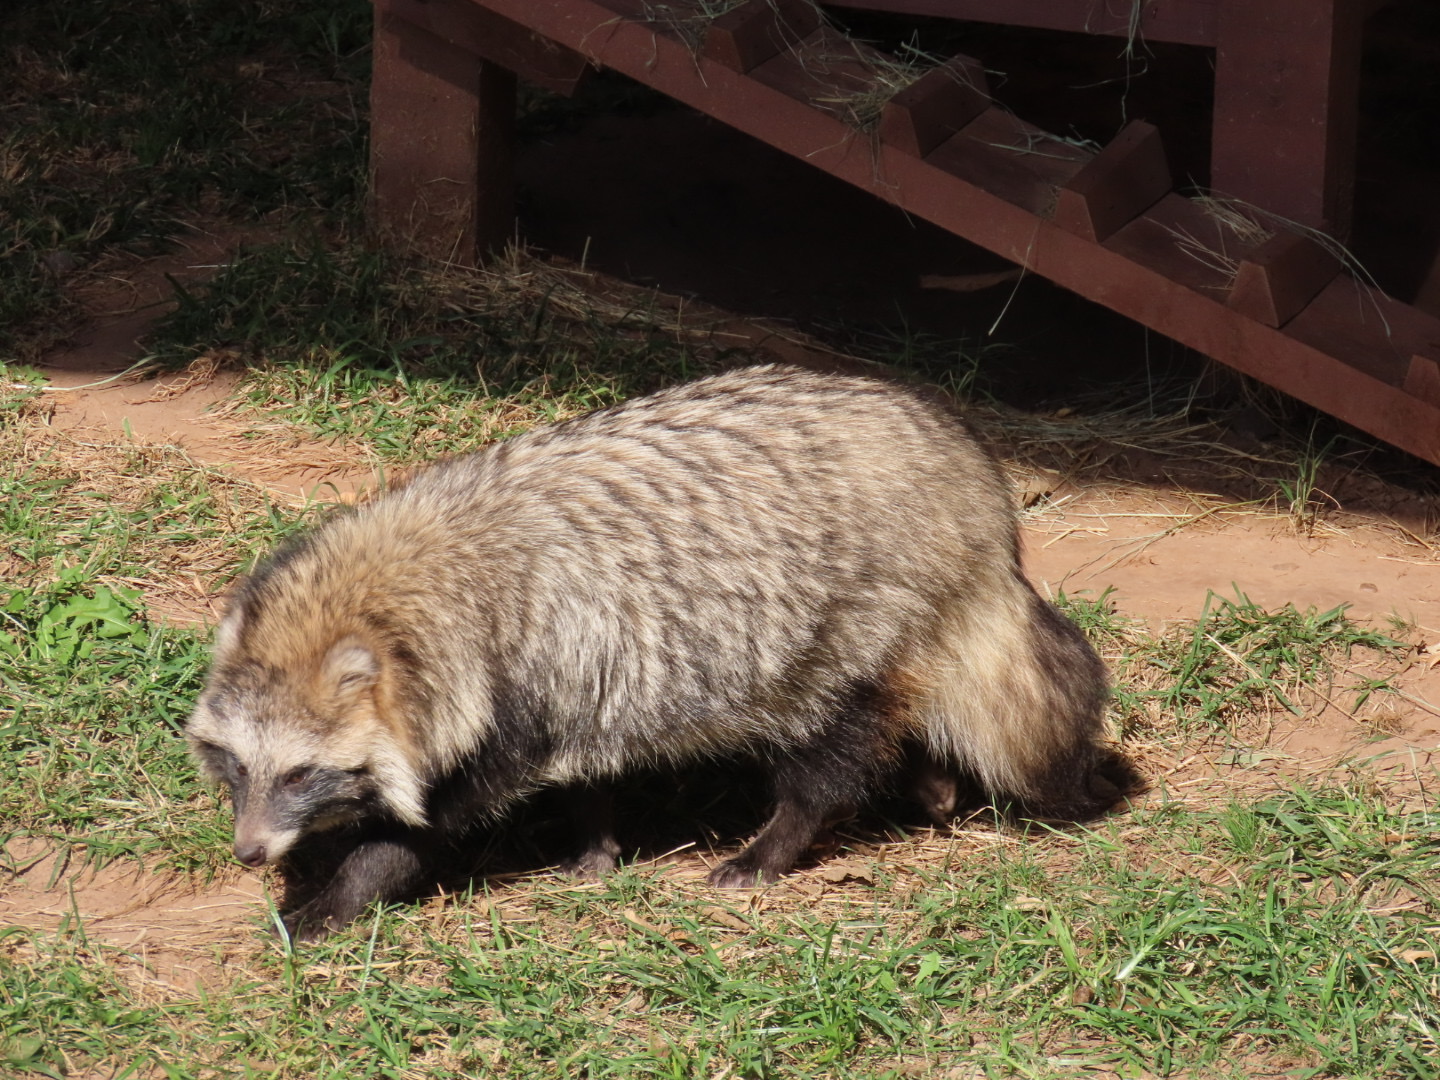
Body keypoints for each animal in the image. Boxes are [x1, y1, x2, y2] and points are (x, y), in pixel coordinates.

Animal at [186, 364, 1114, 940]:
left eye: (303, 774)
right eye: (236, 764)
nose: (248, 853)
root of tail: (970, 480)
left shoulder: (504, 691)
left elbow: (424, 827)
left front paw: (344, 889)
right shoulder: (578, 668)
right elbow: (590, 765)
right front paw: (597, 839)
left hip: (852, 623)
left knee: (831, 752)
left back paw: (779, 840)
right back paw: (928, 777)